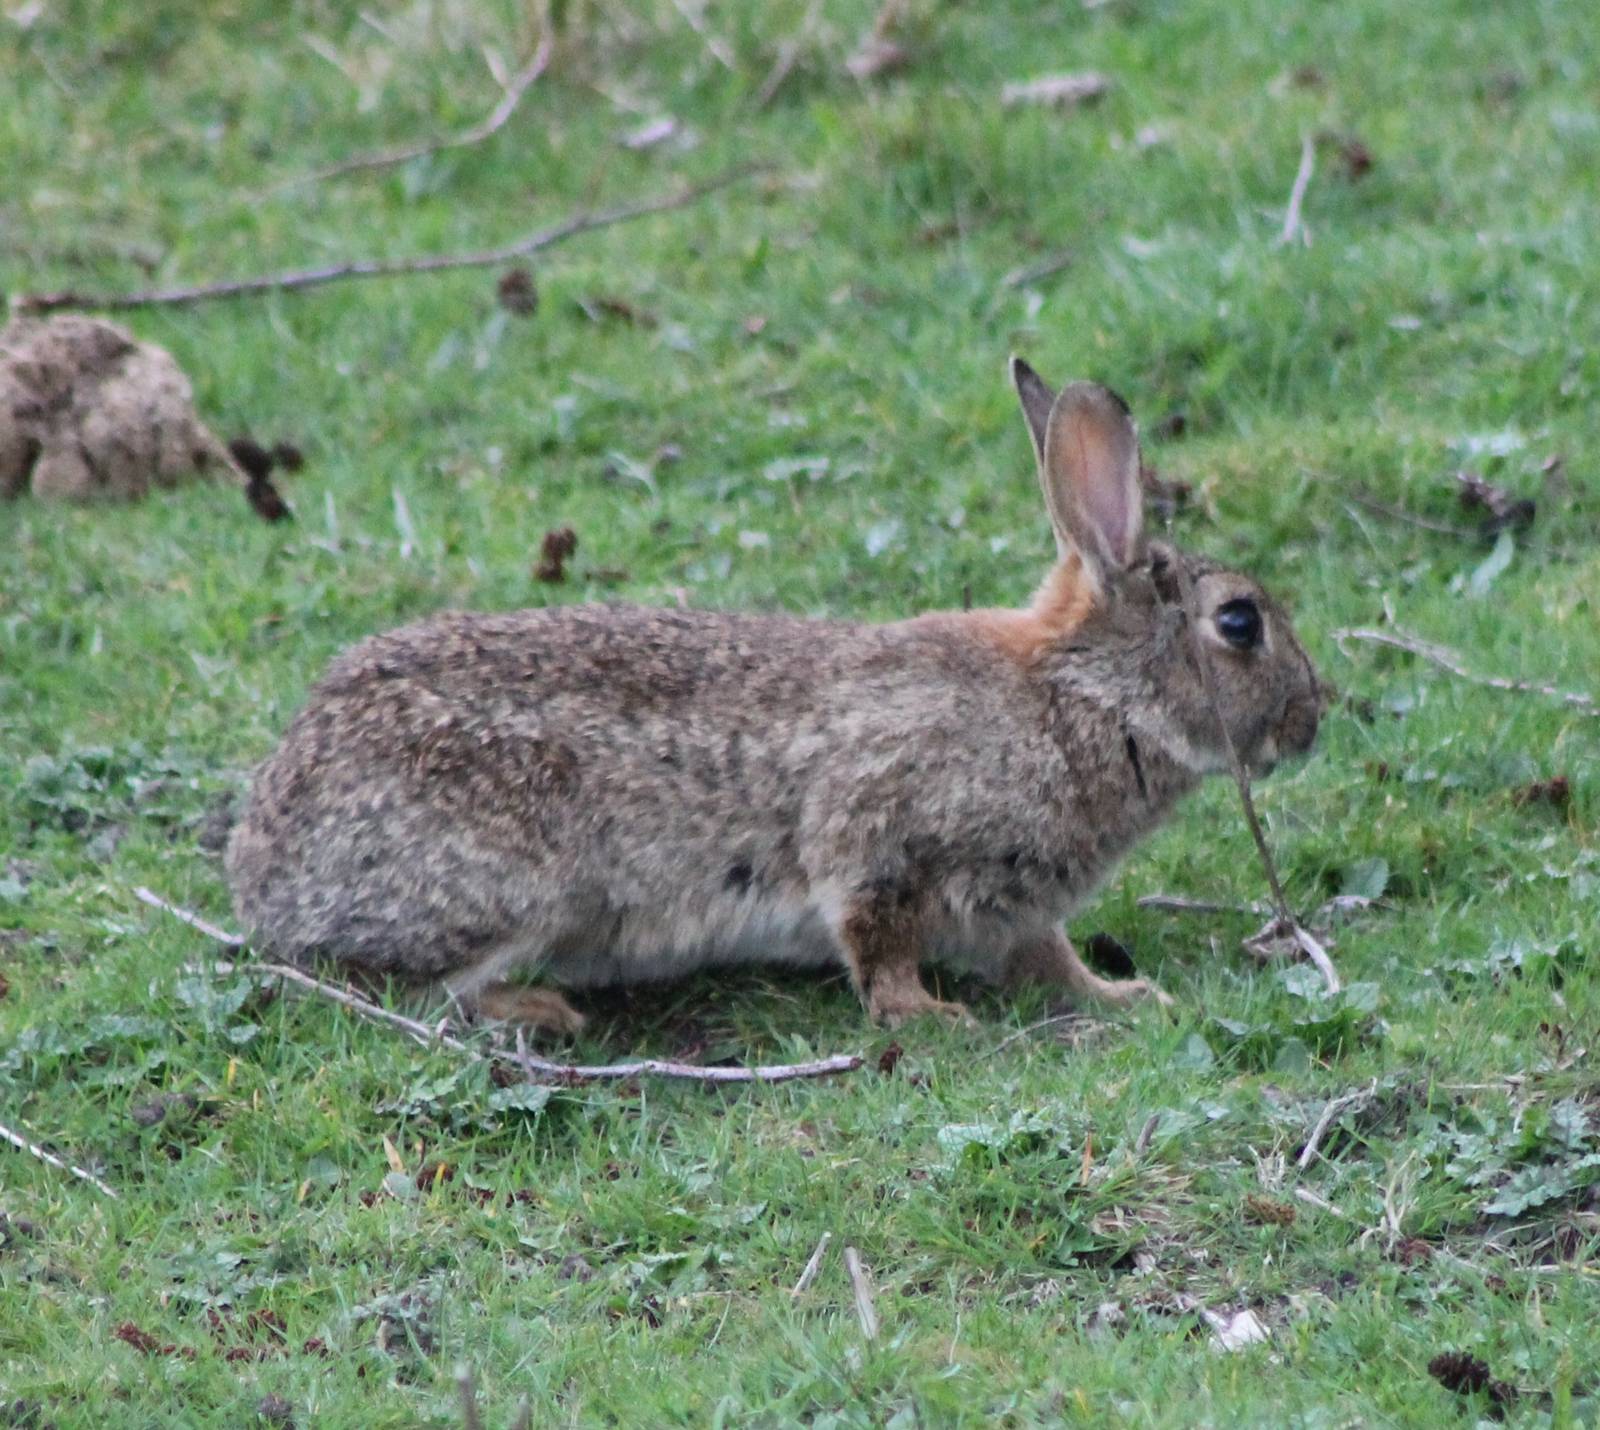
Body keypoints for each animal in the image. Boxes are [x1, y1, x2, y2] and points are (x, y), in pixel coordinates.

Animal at [226, 358, 1322, 1032]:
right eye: (1239, 623)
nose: (1311, 721)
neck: (1082, 695)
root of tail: (264, 867)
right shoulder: (879, 836)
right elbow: (873, 936)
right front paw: (926, 1017)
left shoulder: (1018, 904)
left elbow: (1047, 960)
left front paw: (1124, 993)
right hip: (513, 887)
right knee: (394, 988)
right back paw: (535, 1009)